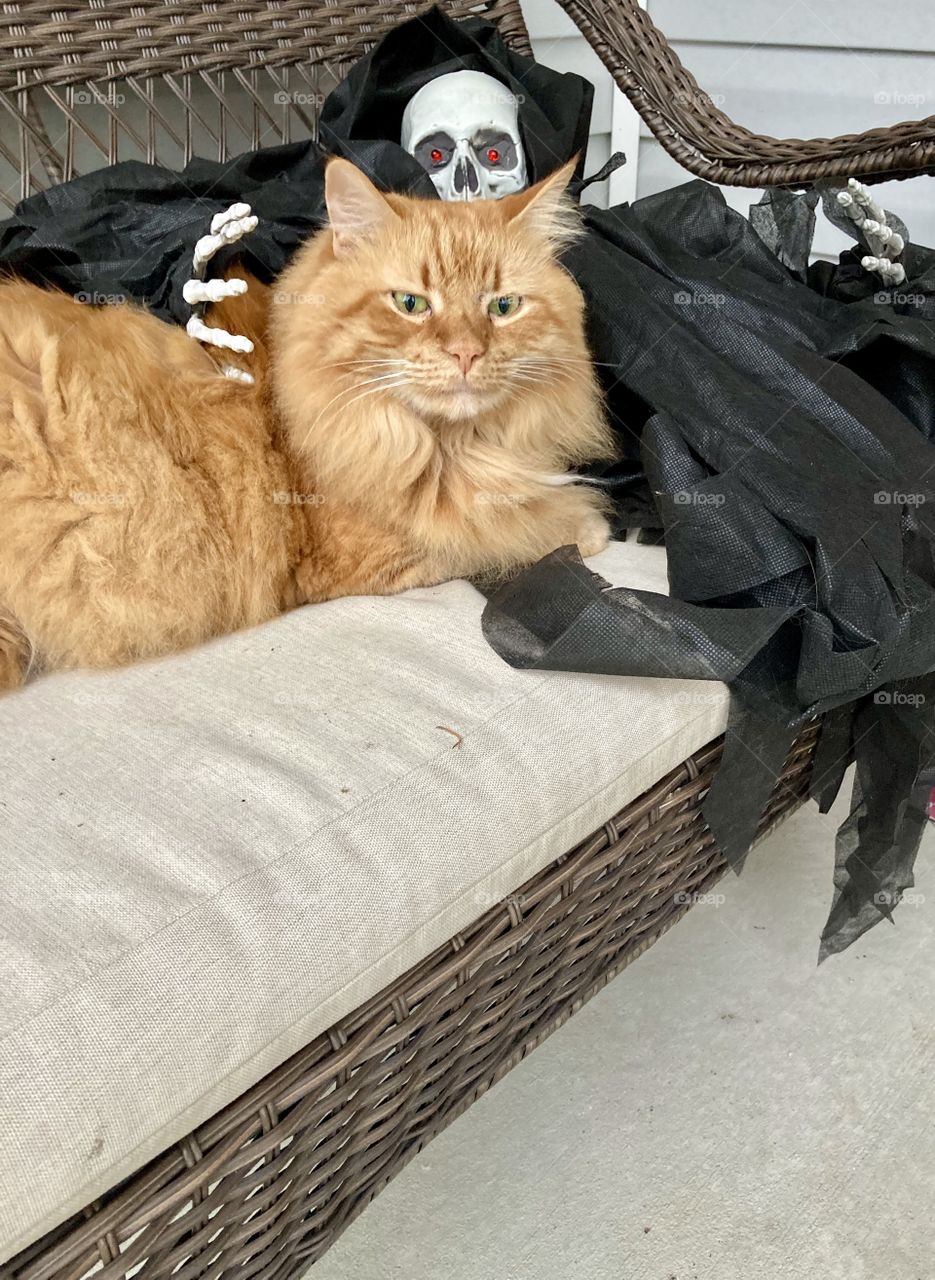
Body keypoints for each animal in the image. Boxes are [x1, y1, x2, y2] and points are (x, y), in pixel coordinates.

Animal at [0, 161, 612, 701]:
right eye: (410, 303)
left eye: (503, 307)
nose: (466, 352)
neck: (448, 443)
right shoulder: (375, 560)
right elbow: (508, 532)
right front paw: (589, 526)